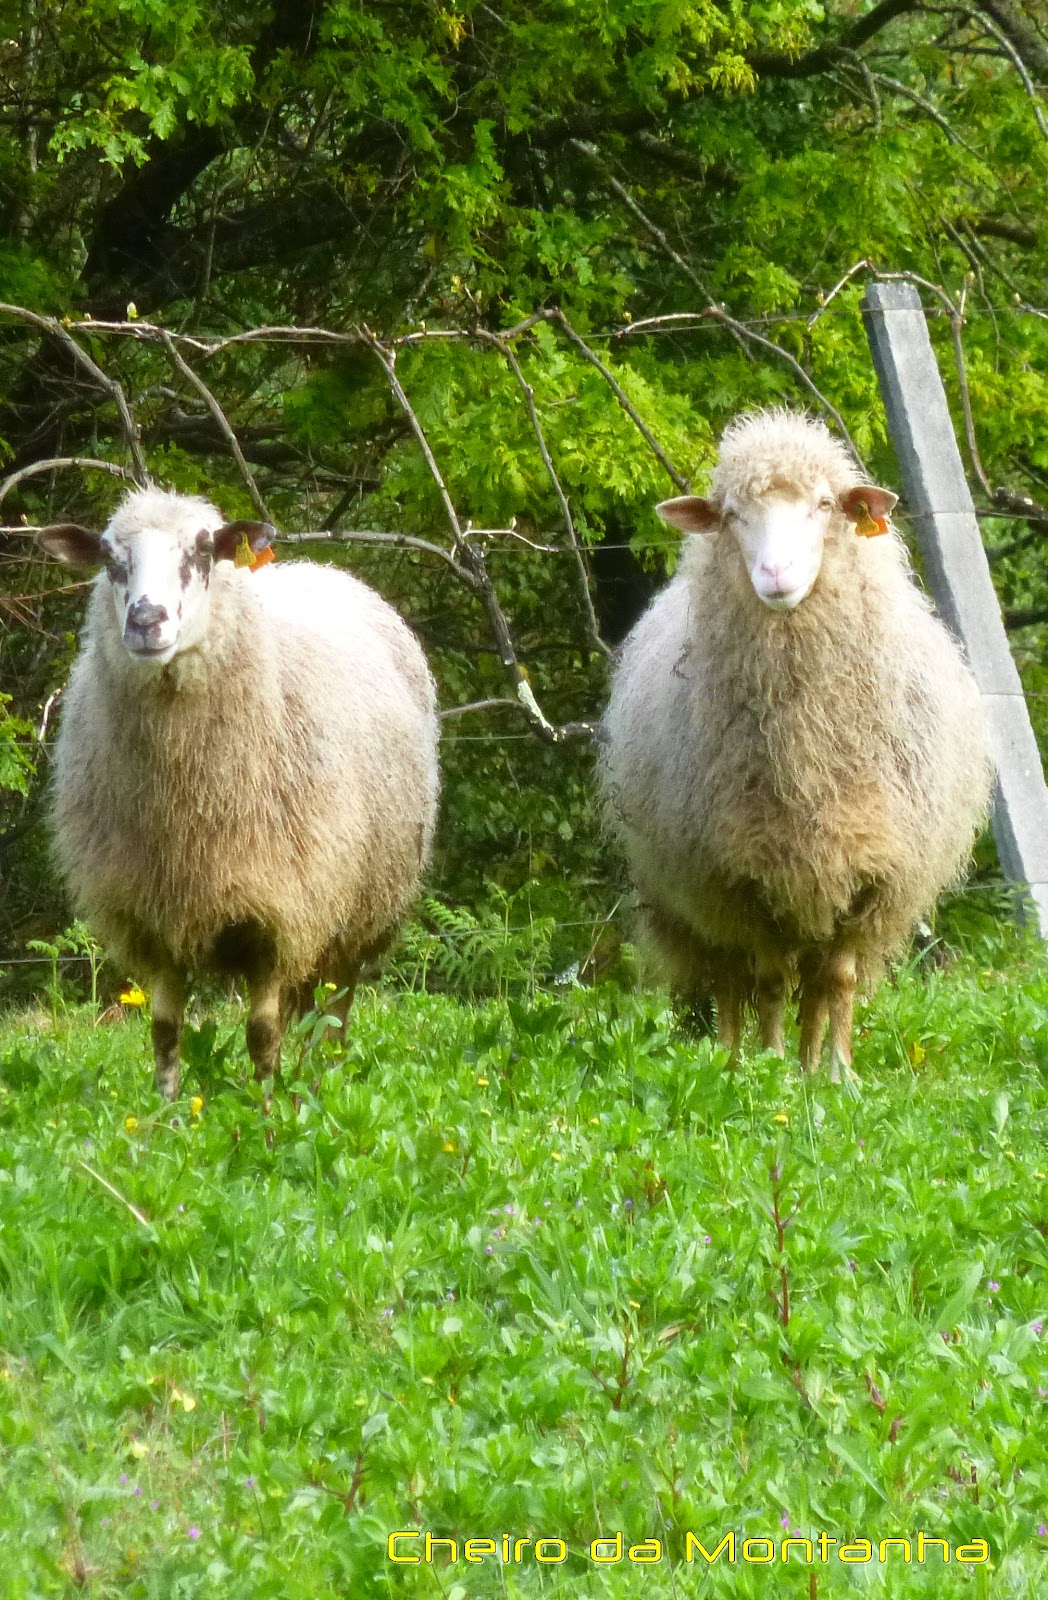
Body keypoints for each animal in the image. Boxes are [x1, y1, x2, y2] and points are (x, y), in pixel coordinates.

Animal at [37, 487, 439, 1099]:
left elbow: (262, 1033)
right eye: (109, 560)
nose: (146, 620)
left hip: (361, 910)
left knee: (333, 1013)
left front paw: (266, 1110)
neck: (185, 800)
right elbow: (164, 1031)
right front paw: (165, 1113)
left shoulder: (280, 910)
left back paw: (321, 1083)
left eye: (203, 553)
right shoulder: (154, 912)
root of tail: (320, 569)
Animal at [602, 409, 994, 1081]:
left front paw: (835, 1074)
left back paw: (811, 1065)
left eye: (825, 505)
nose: (776, 575)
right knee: (730, 978)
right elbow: (766, 980)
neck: (805, 740)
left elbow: (836, 980)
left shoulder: (870, 869)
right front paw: (769, 1066)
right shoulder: (742, 872)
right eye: (733, 514)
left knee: (811, 982)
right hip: (695, 890)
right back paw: (732, 1059)